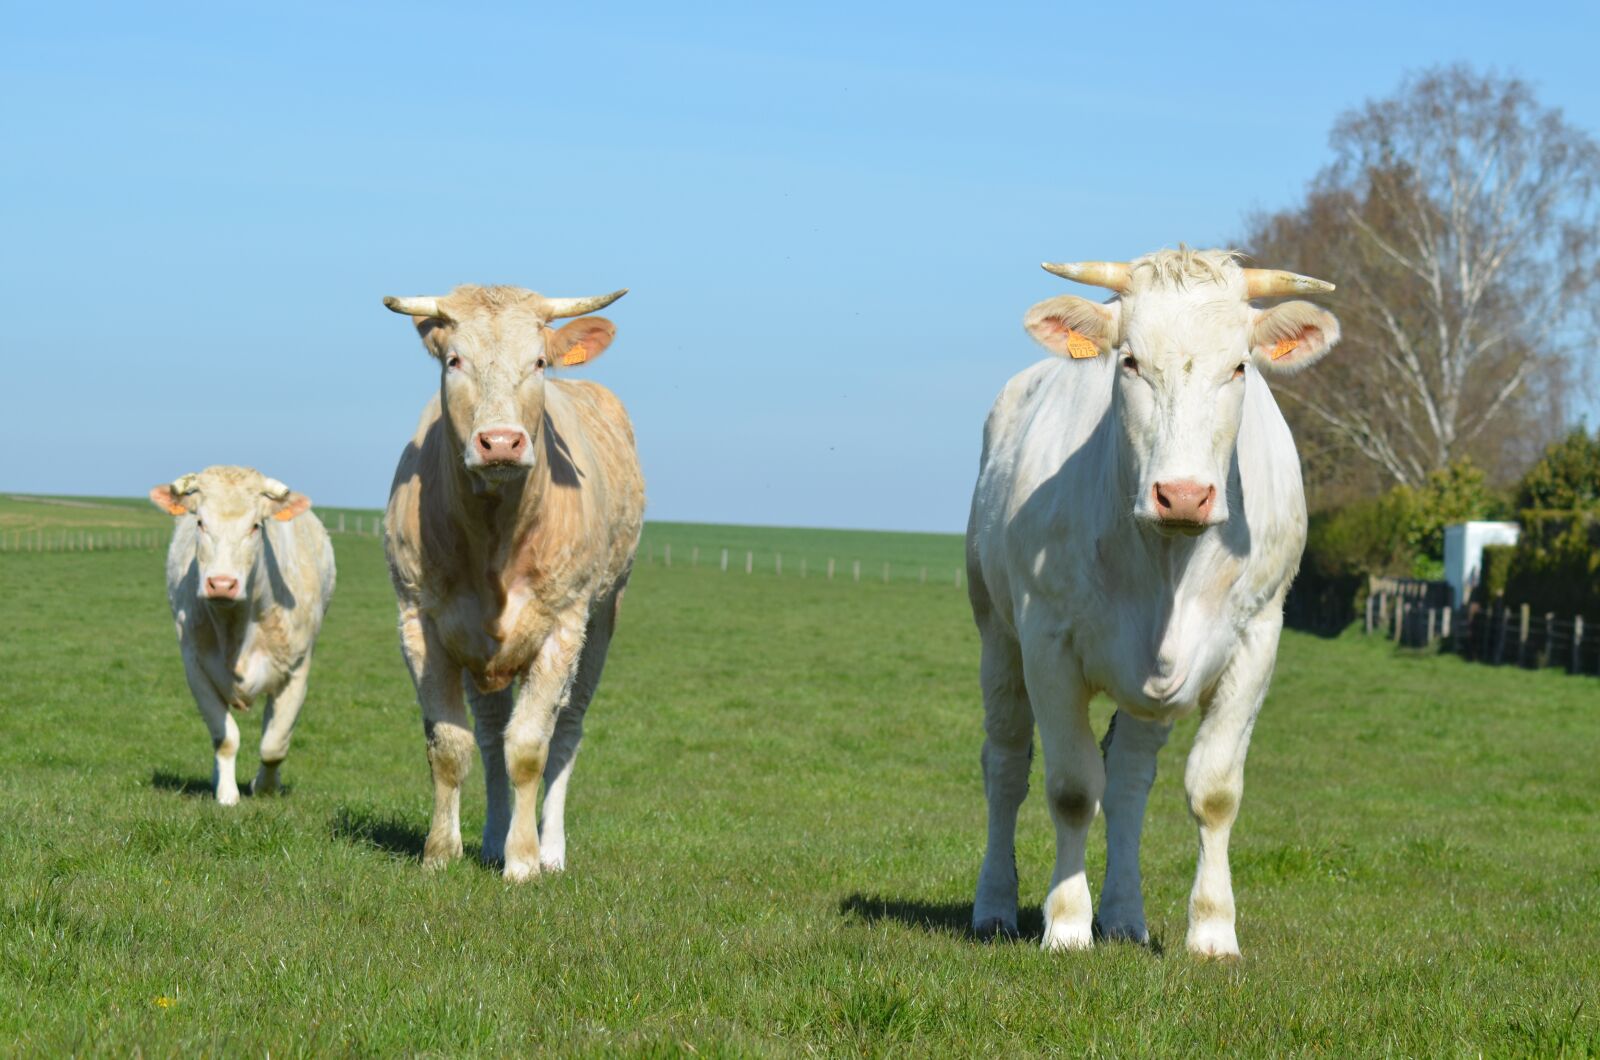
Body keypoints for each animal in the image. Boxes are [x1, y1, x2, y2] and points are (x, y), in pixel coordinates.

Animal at [149, 465, 336, 804]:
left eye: (255, 526)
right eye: (200, 522)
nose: (222, 583)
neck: (234, 625)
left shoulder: (297, 670)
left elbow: (274, 743)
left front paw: (264, 787)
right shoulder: (195, 667)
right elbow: (225, 737)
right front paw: (226, 794)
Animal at [381, 283, 644, 882]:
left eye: (539, 362)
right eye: (454, 361)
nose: (500, 442)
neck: (494, 533)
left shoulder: (563, 627)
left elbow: (528, 749)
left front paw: (524, 861)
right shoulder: (420, 624)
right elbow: (450, 745)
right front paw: (441, 853)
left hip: (603, 618)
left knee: (565, 731)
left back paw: (550, 851)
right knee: (489, 733)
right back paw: (492, 839)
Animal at [965, 247, 1341, 958]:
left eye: (1240, 366)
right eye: (1131, 361)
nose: (1184, 495)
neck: (1168, 562)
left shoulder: (1258, 639)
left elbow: (1214, 791)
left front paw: (1214, 931)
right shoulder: (1047, 641)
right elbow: (1071, 788)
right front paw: (1065, 924)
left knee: (1131, 779)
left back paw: (1124, 916)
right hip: (996, 634)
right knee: (1006, 765)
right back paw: (995, 905)